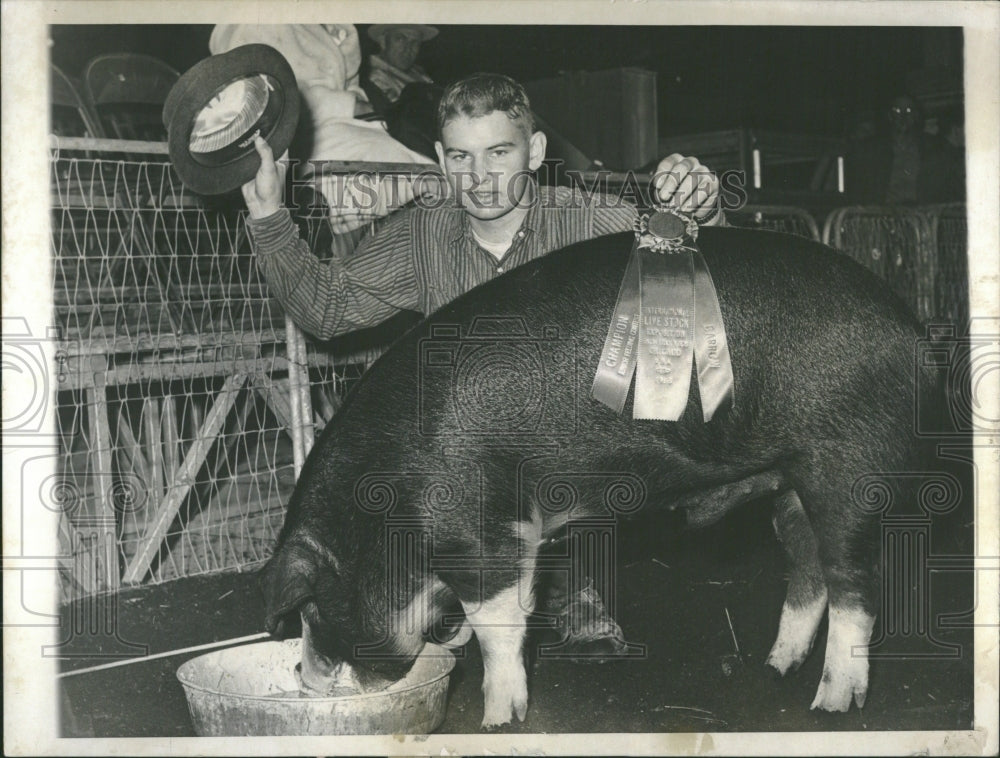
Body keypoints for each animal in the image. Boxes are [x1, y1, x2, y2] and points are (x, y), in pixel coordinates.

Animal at [262, 229, 932, 732]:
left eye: (313, 606)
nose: (303, 677)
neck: (385, 510)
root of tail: (911, 328)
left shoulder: (480, 531)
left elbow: (497, 628)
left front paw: (498, 720)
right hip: (790, 480)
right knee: (807, 566)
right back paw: (776, 667)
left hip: (848, 466)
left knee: (853, 585)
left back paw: (832, 703)